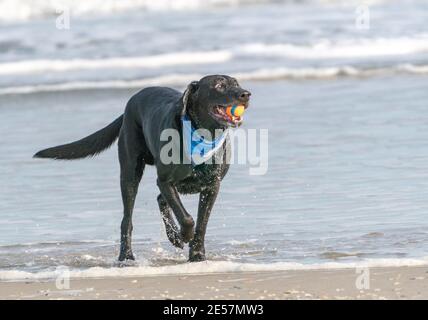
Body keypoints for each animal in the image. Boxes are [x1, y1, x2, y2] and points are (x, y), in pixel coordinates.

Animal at [36, 75, 252, 262]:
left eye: (237, 83)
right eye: (219, 85)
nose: (246, 94)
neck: (202, 134)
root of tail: (131, 102)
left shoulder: (212, 186)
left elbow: (202, 223)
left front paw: (197, 255)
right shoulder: (165, 180)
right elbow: (188, 218)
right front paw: (185, 235)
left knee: (161, 200)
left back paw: (172, 237)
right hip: (130, 174)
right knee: (127, 219)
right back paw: (127, 256)